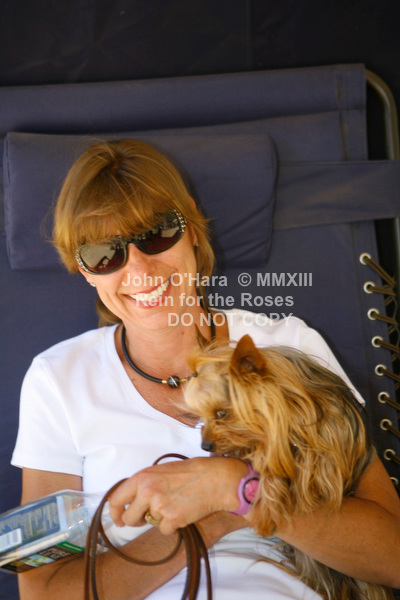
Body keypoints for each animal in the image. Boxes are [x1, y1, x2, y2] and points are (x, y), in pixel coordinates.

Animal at [184, 334, 393, 600]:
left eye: (222, 413)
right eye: (200, 416)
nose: (205, 445)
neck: (291, 405)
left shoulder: (335, 430)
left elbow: (318, 462)